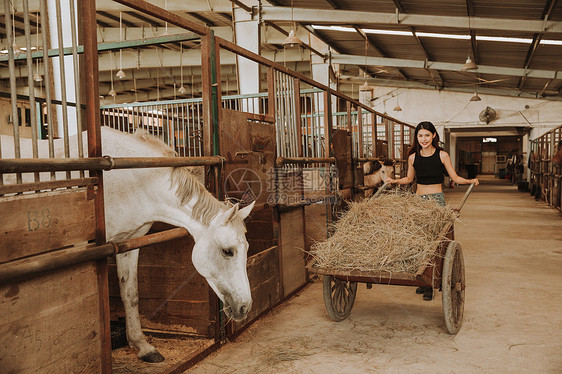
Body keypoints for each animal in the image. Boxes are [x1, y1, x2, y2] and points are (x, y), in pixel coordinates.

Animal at [1, 126, 255, 362]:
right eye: (227, 252)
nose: (245, 307)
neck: (130, 180)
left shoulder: (129, 244)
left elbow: (130, 294)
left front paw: (143, 346)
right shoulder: (81, 248)